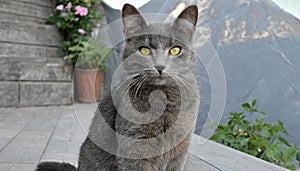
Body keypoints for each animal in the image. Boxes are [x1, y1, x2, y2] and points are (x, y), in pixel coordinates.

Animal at [35, 3, 199, 171]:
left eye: (175, 50)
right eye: (144, 50)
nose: (160, 66)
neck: (161, 99)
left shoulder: (180, 149)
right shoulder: (135, 146)